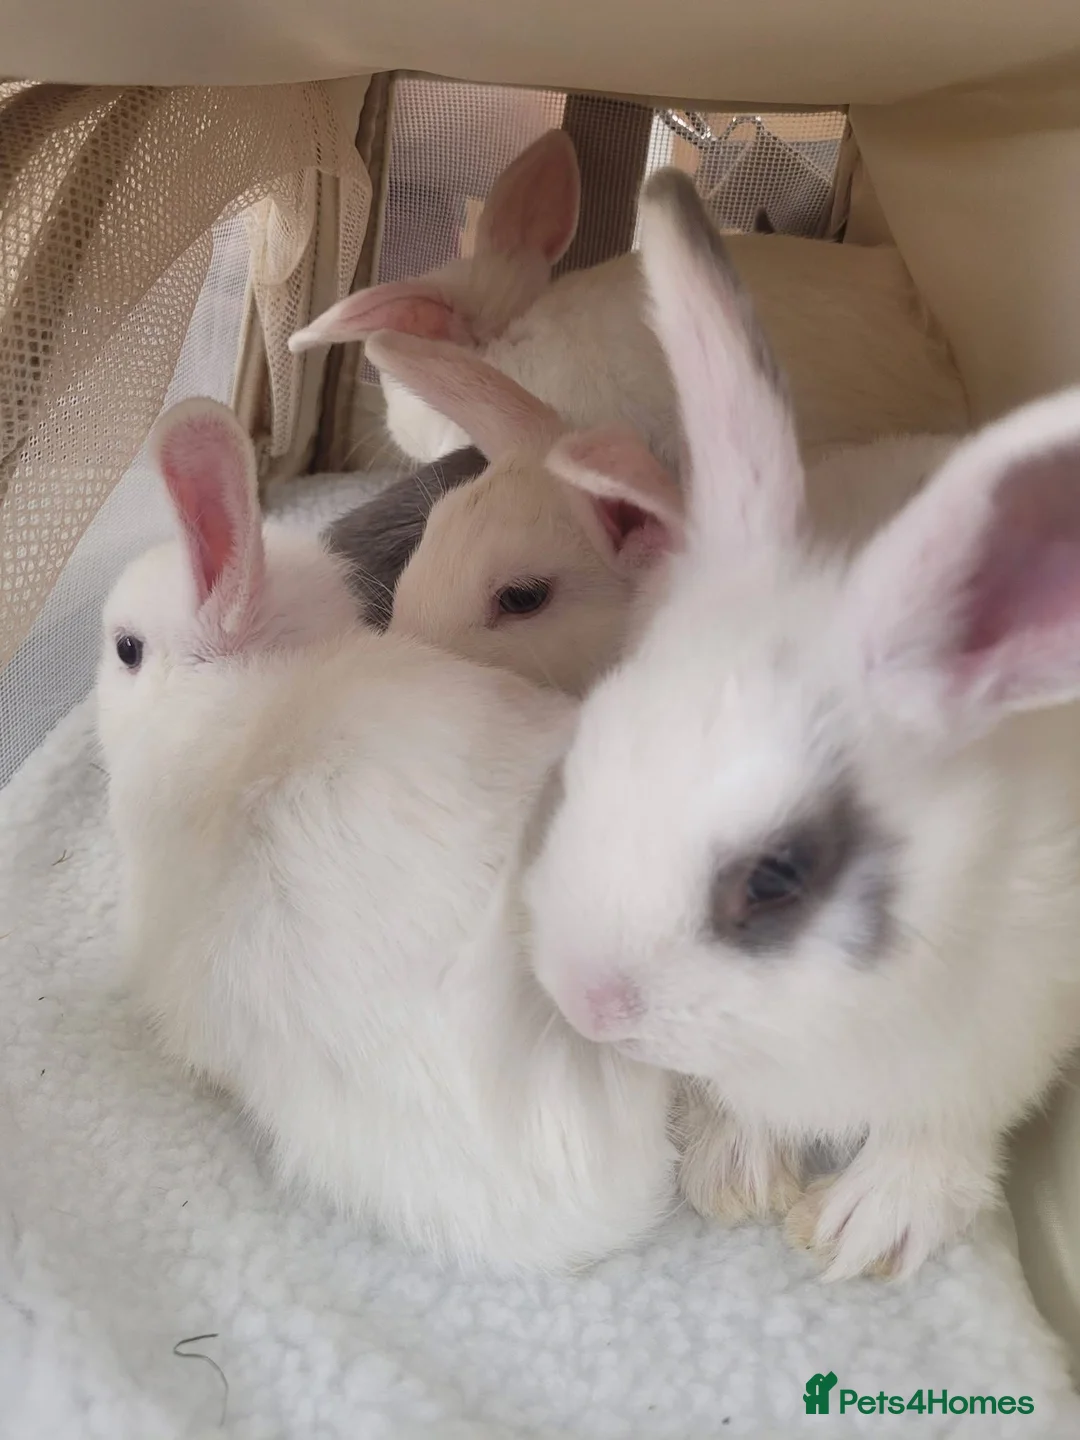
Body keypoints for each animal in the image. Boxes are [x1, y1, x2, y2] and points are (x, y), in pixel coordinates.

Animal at [520, 168, 1080, 1284]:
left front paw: (872, 1227)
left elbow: (940, 1135)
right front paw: (733, 1172)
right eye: (584, 757)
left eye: (775, 880)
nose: (584, 999)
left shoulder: (1007, 1039)